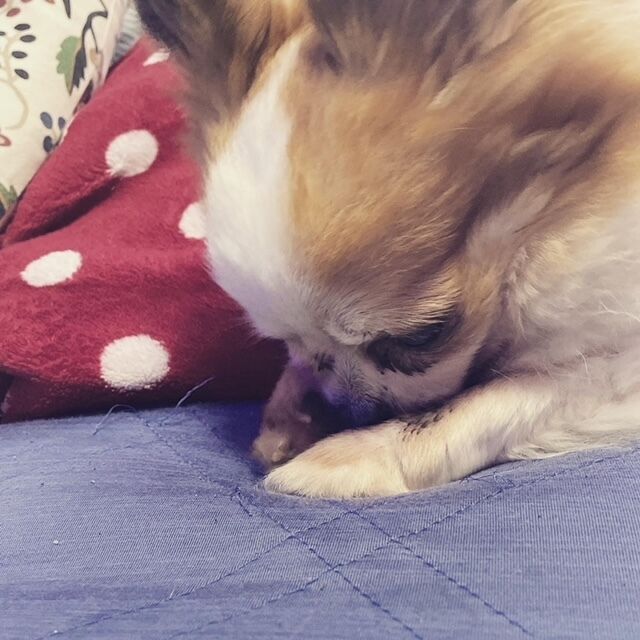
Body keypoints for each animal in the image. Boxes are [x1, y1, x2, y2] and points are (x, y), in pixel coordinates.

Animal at [137, 0, 640, 498]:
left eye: (422, 337)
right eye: (285, 342)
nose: (346, 407)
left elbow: (495, 398)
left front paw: (359, 452)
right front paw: (291, 410)